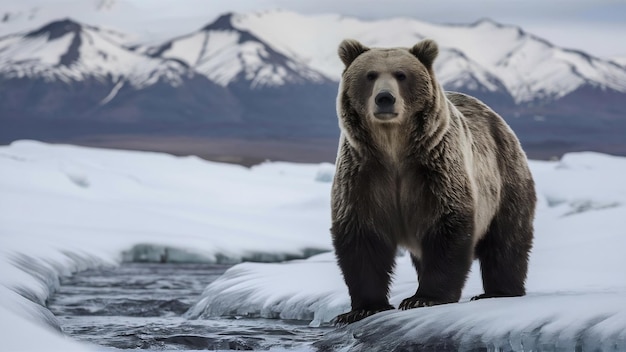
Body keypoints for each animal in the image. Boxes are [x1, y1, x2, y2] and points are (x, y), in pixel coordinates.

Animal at [330, 37, 532, 324]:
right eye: (370, 75)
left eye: (401, 75)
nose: (385, 98)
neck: (393, 148)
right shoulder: (362, 174)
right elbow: (361, 236)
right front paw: (362, 308)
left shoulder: (435, 169)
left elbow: (447, 225)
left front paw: (423, 298)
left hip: (505, 179)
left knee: (506, 241)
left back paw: (498, 292)